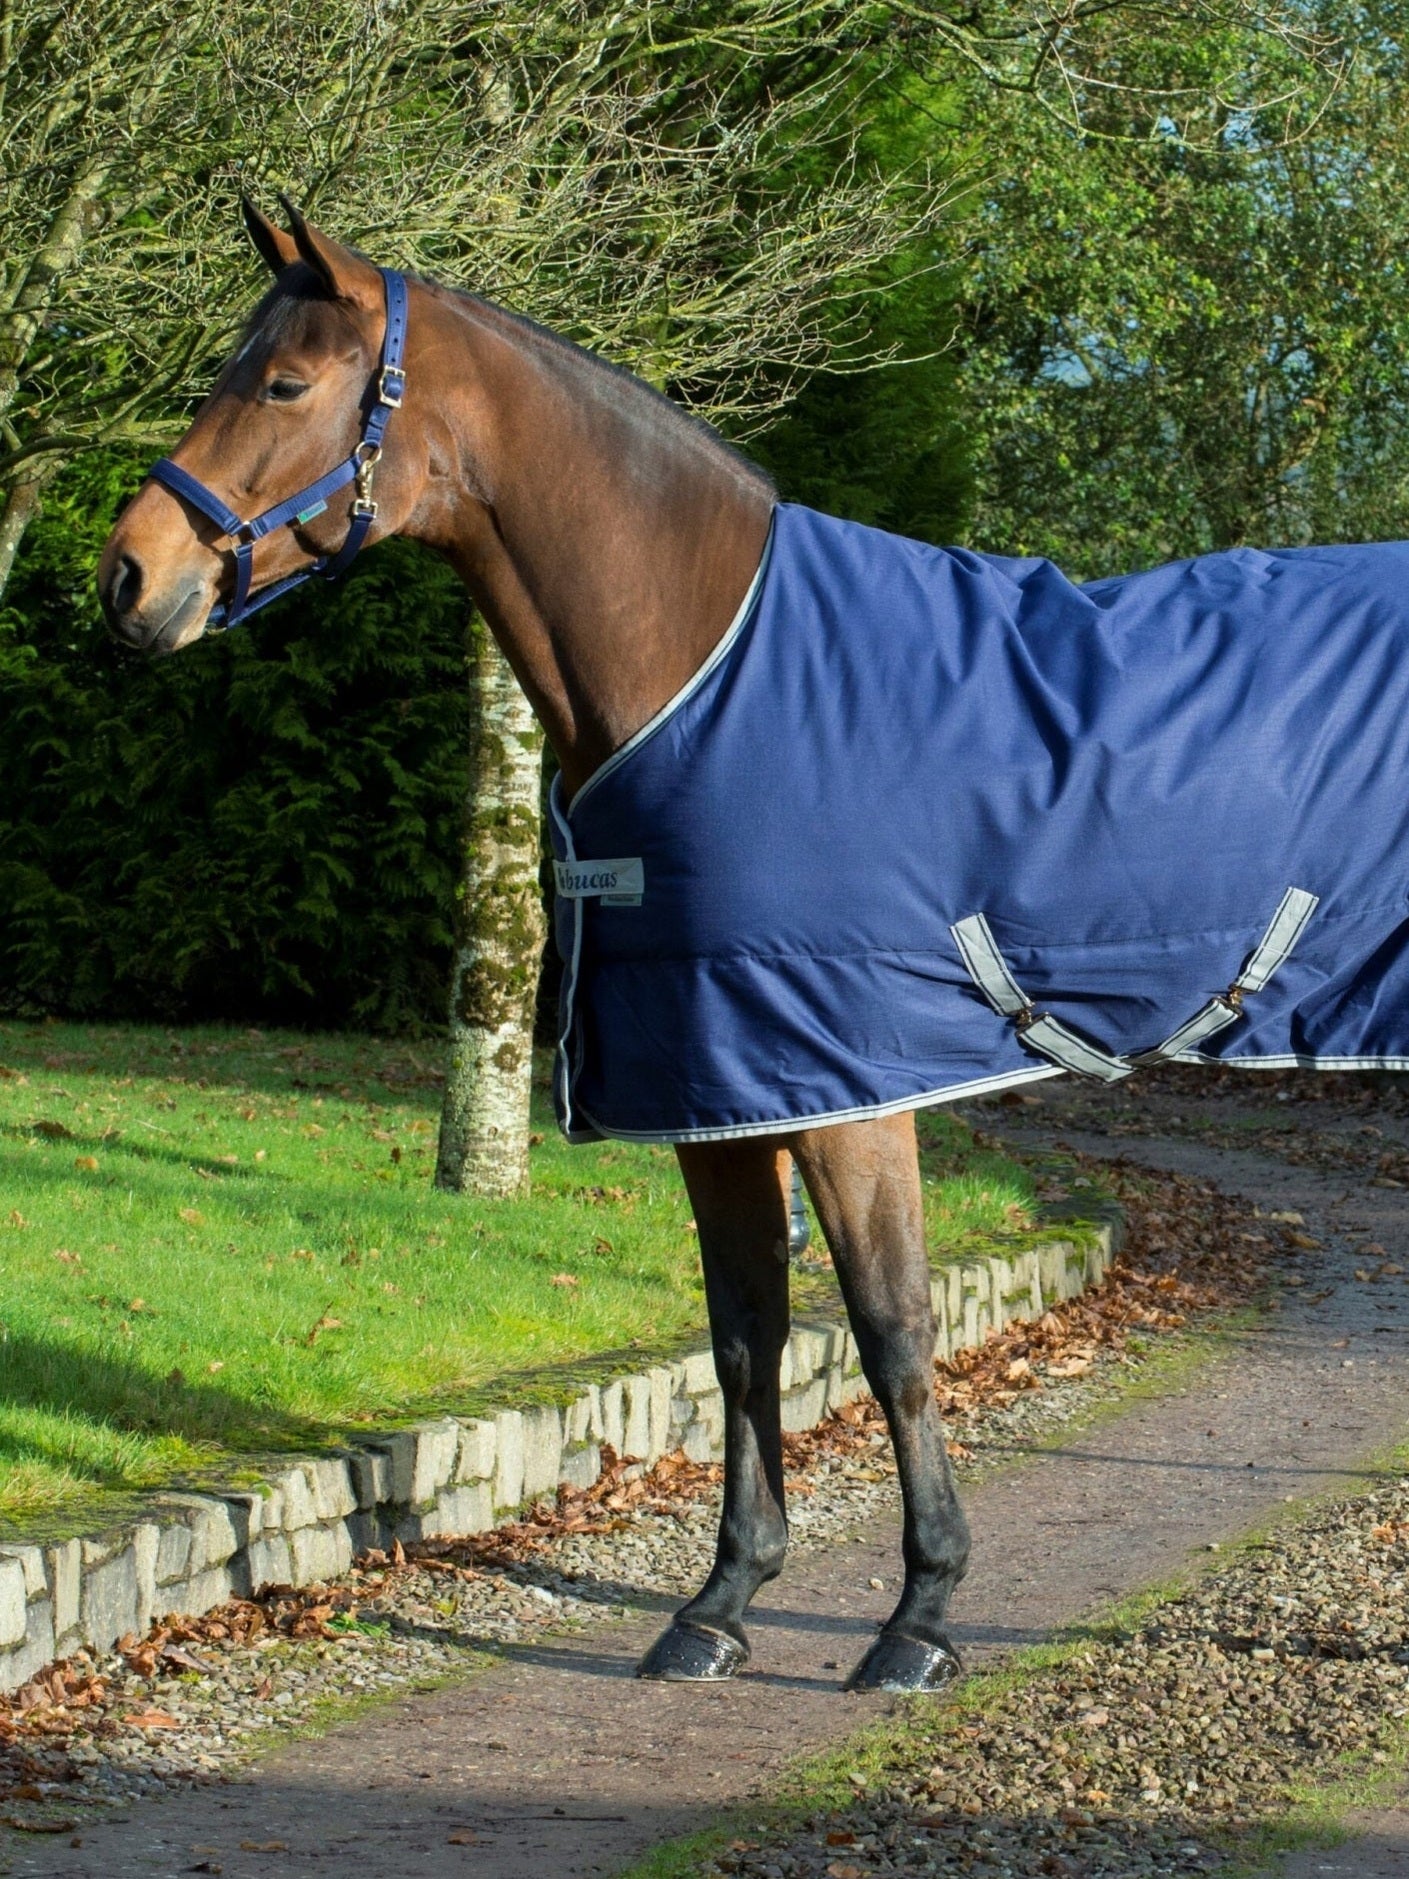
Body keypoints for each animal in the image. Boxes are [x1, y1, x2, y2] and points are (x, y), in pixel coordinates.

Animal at [100, 205, 1409, 1693]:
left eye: (281, 383)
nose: (128, 576)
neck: (703, 662)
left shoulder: (846, 1084)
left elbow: (892, 1336)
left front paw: (919, 1615)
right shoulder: (711, 1092)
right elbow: (744, 1339)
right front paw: (720, 1599)